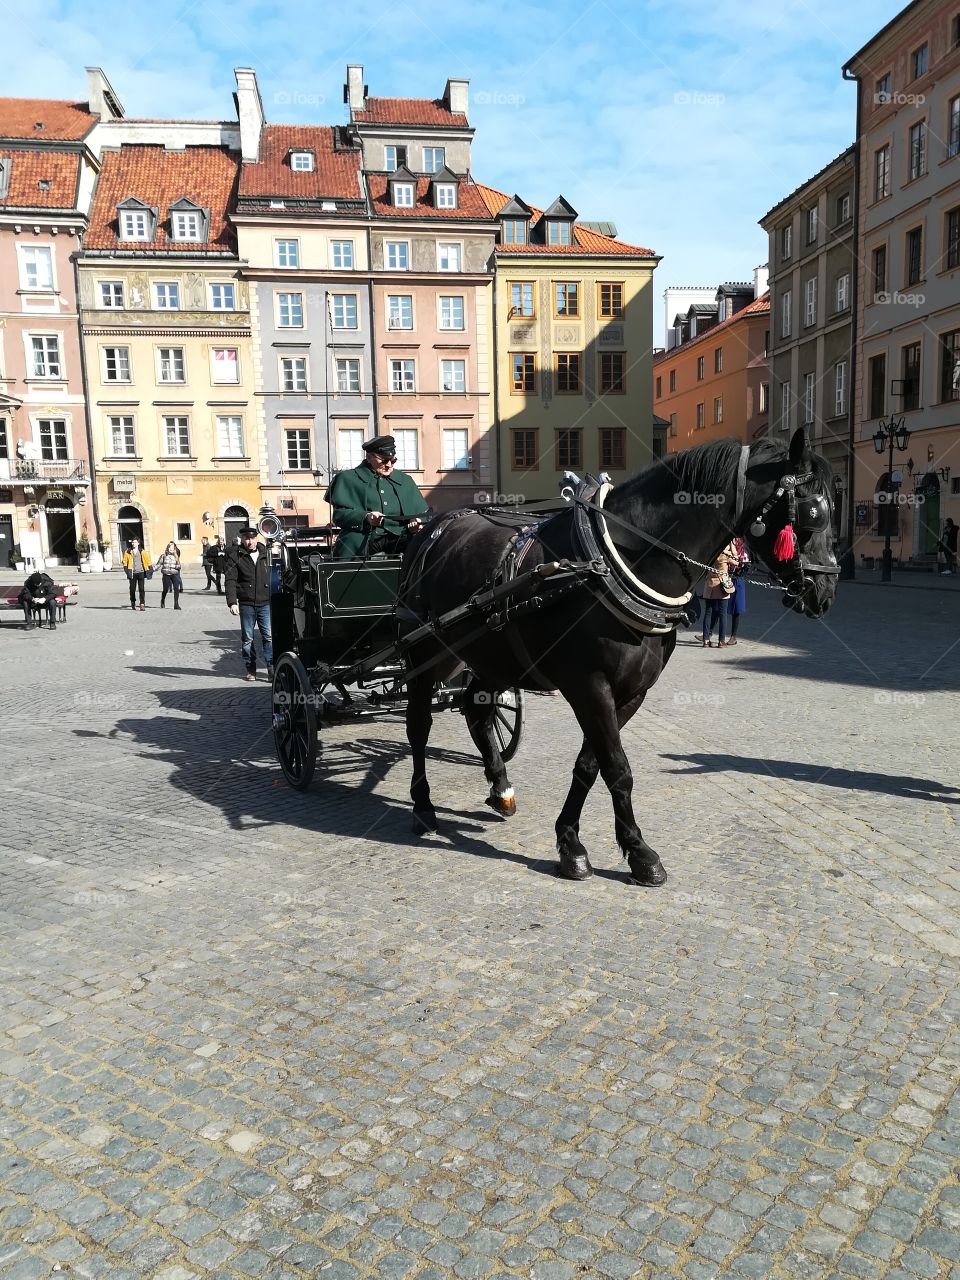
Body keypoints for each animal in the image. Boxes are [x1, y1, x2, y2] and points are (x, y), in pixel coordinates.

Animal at [401, 435, 839, 885]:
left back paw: (500, 788)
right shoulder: (589, 687)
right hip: (427, 653)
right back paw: (423, 807)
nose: (825, 591)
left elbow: (589, 765)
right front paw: (639, 852)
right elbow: (617, 768)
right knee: (419, 725)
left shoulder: (631, 692)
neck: (614, 563)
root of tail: (434, 527)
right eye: (813, 512)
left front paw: (572, 840)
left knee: (476, 708)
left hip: (491, 655)